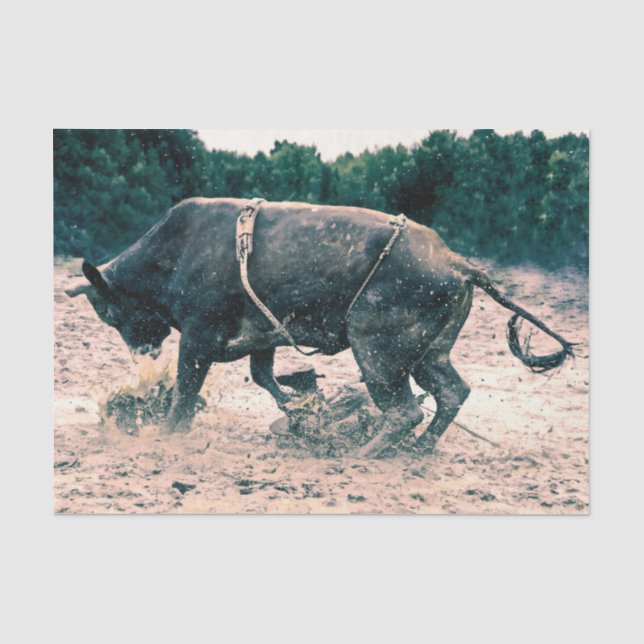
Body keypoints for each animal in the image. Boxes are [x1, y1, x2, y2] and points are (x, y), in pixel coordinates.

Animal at [65, 197, 574, 458]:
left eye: (109, 313)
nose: (143, 353)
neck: (177, 251)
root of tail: (455, 262)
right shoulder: (264, 337)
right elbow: (264, 377)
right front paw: (302, 409)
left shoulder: (197, 337)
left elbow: (186, 391)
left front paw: (168, 431)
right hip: (428, 354)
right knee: (451, 393)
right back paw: (419, 449)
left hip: (377, 352)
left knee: (404, 411)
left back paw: (362, 454)